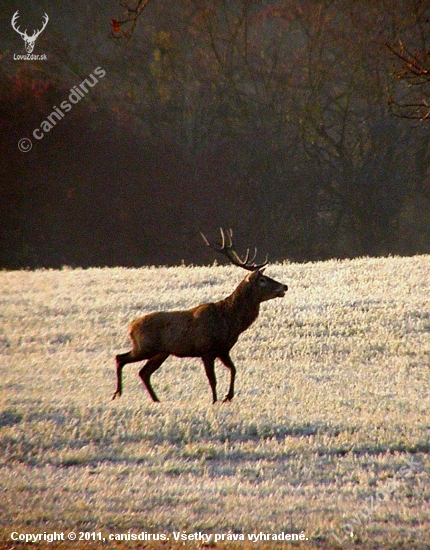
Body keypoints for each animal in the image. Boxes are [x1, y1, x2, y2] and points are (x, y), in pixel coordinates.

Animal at [113, 229, 288, 406]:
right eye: (263, 280)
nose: (284, 286)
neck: (229, 322)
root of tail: (131, 326)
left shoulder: (223, 350)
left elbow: (233, 369)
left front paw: (228, 397)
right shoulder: (206, 349)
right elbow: (212, 379)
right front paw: (214, 401)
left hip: (160, 352)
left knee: (144, 372)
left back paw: (156, 400)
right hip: (145, 347)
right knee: (120, 358)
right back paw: (118, 393)